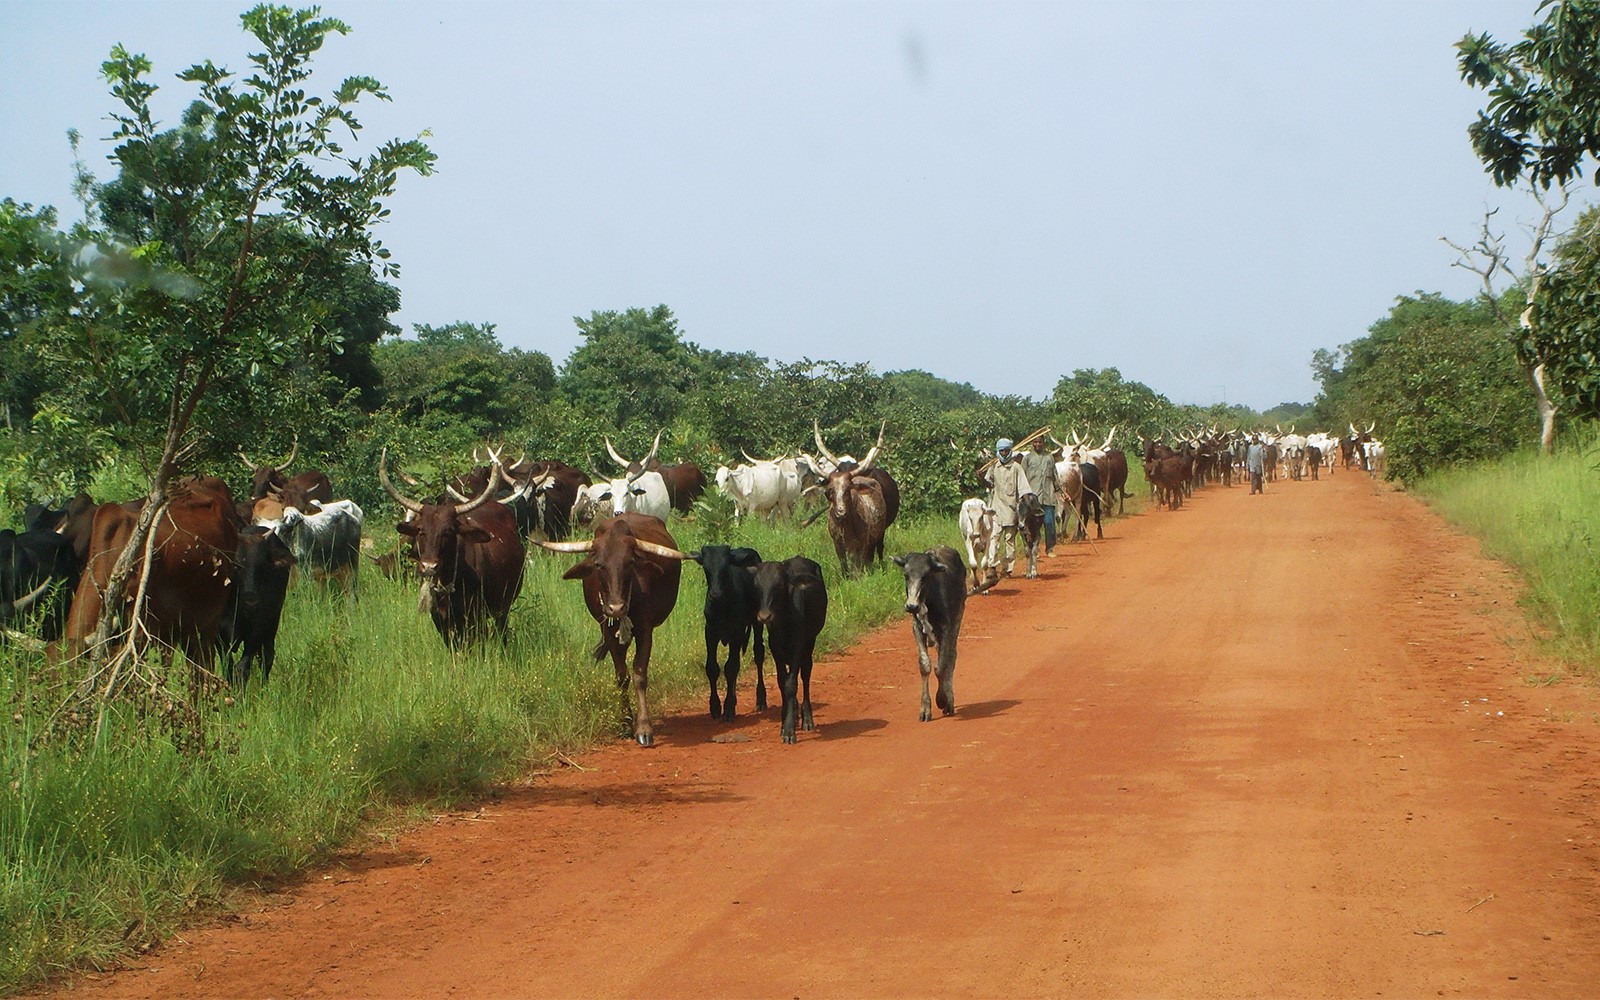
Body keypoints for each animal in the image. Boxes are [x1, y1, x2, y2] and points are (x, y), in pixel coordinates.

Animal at [537, 512, 688, 745]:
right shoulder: (607, 630)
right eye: (599, 564)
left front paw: (643, 727)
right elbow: (622, 676)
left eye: (630, 562)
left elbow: (639, 675)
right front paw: (626, 723)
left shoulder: (645, 629)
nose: (616, 608)